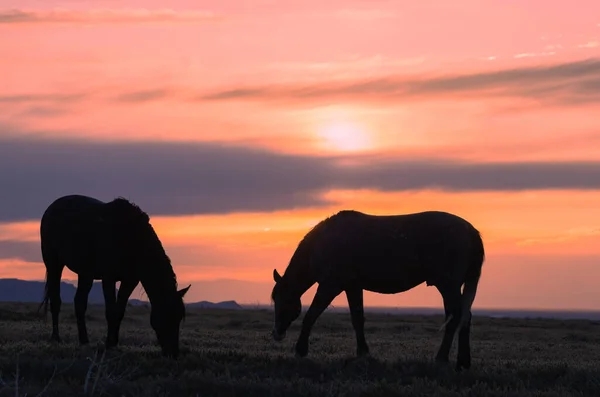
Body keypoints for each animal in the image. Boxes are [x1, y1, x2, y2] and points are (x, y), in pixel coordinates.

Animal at [37, 195, 191, 358]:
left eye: (179, 317)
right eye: (167, 315)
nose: (173, 353)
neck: (131, 239)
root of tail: (52, 207)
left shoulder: (130, 280)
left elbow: (119, 311)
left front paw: (113, 343)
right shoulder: (108, 278)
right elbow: (111, 311)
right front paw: (109, 343)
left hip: (85, 273)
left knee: (79, 303)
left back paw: (84, 341)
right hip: (54, 263)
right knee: (55, 300)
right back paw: (56, 338)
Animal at [270, 209, 486, 370]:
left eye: (281, 300)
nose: (277, 334)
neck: (325, 242)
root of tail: (471, 232)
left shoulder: (330, 285)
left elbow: (311, 315)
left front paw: (300, 350)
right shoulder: (352, 287)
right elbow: (357, 319)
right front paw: (363, 353)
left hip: (448, 286)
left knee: (455, 317)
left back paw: (441, 359)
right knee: (463, 317)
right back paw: (463, 363)